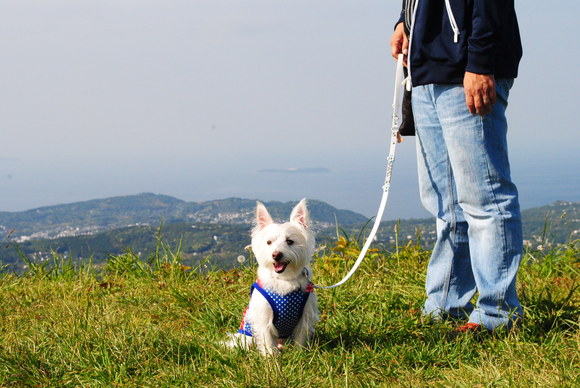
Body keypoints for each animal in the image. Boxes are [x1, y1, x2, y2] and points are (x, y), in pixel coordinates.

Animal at [224, 200, 320, 354]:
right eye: (269, 242)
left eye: (290, 241)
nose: (276, 254)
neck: (285, 279)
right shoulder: (263, 317)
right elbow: (267, 340)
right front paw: (270, 357)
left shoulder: (305, 316)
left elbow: (300, 338)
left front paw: (299, 354)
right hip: (247, 335)